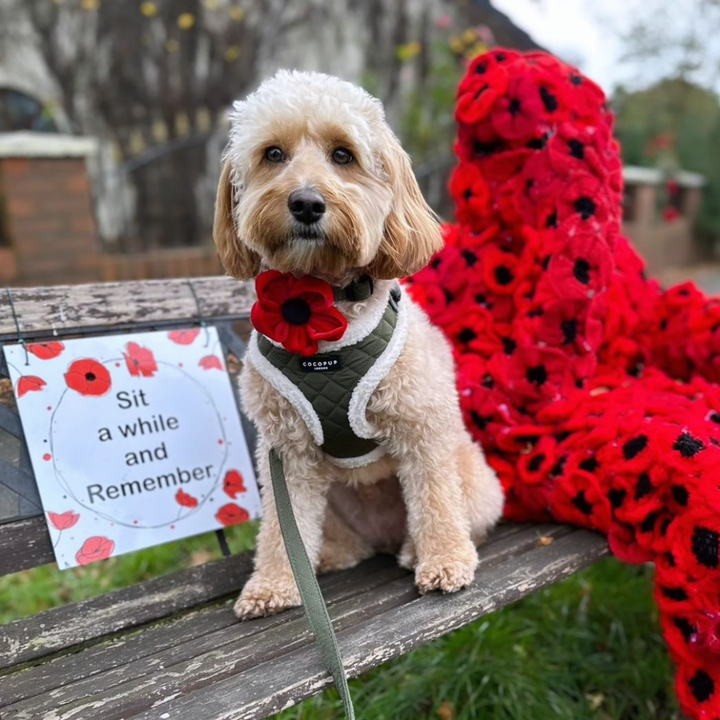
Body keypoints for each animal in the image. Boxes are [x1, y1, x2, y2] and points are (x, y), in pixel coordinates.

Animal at [214, 69, 504, 620]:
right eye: (273, 154)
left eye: (343, 154)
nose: (306, 202)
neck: (316, 303)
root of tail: (383, 536)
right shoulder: (286, 452)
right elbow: (280, 531)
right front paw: (274, 584)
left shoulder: (421, 427)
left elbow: (436, 499)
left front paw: (444, 563)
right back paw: (330, 558)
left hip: (476, 478)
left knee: (457, 515)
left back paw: (419, 550)